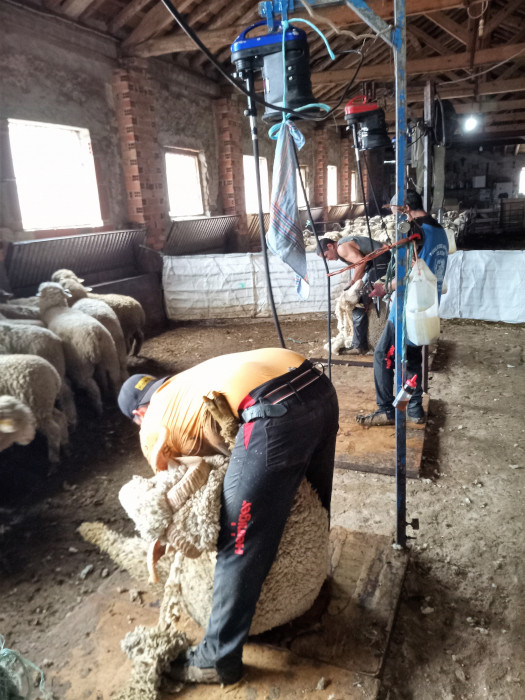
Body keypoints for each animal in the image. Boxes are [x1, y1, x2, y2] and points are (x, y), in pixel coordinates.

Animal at [37, 282, 122, 416]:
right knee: (115, 377)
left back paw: (98, 409)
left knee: (91, 386)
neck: (55, 308)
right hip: (110, 354)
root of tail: (94, 334)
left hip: (80, 364)